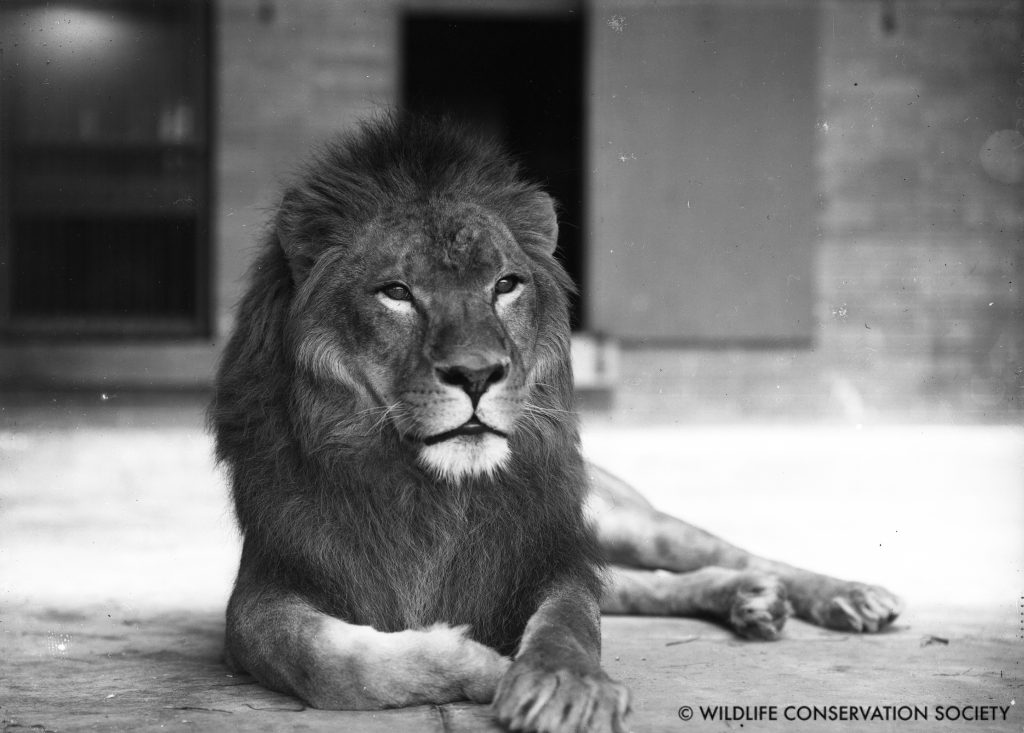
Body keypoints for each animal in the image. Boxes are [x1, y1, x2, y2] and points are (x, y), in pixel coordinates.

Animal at [211, 114, 901, 733]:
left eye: (506, 285)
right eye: (397, 292)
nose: (477, 374)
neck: (429, 489)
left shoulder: (548, 555)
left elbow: (570, 626)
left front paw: (565, 687)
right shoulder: (263, 592)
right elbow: (327, 662)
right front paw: (487, 665)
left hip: (621, 520)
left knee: (725, 552)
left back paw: (842, 594)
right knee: (644, 584)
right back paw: (749, 597)